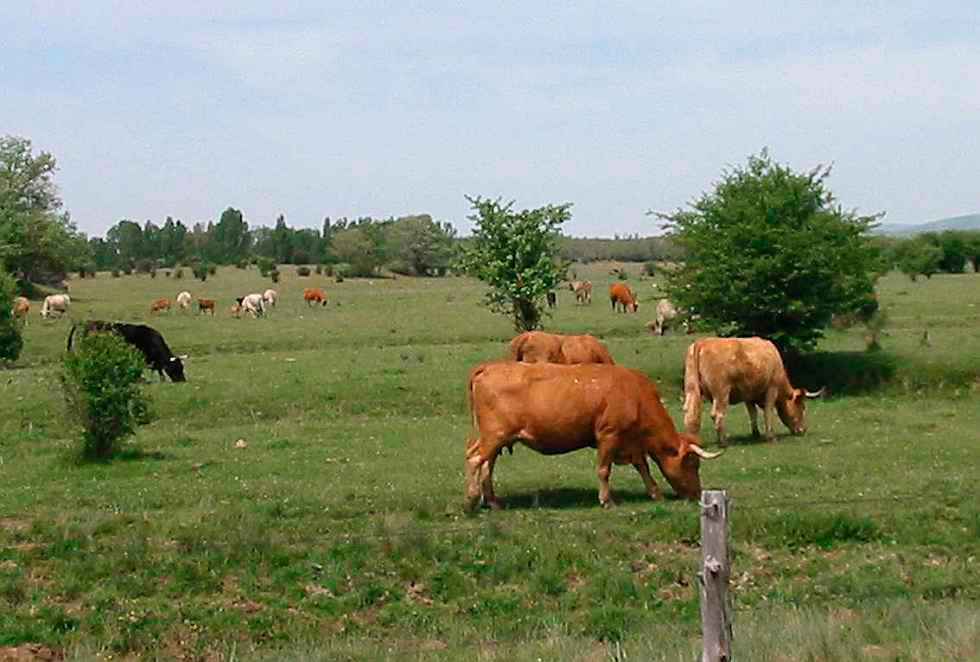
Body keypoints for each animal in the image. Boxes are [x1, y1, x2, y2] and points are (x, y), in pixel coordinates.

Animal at [464, 364, 724, 512]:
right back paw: (471, 500)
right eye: (692, 463)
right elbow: (604, 470)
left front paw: (655, 493)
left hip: (494, 439)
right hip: (495, 435)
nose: (697, 494)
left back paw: (492, 502)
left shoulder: (632, 443)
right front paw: (606, 500)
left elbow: (643, 466)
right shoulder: (609, 435)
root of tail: (488, 368)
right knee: (476, 460)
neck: (636, 395)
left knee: (486, 464)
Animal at [680, 340, 828, 448]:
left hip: (691, 389)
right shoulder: (772, 389)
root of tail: (702, 342)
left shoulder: (748, 395)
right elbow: (768, 412)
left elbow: (753, 414)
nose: (803, 430)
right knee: (717, 414)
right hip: (721, 392)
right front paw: (770, 437)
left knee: (689, 413)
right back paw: (723, 443)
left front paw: (755, 433)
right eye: (802, 407)